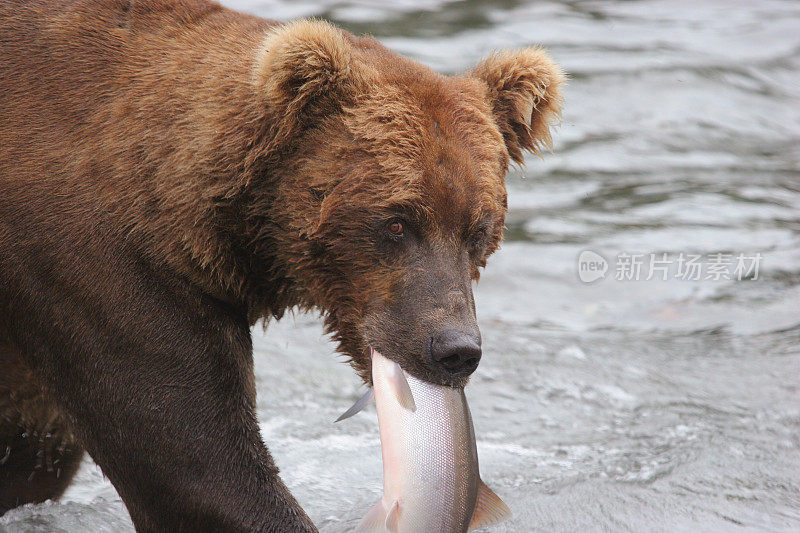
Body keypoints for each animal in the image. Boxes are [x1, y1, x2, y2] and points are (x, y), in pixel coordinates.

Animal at [0, 2, 564, 528]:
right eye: (397, 222)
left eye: (478, 231)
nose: (455, 349)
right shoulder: (104, 269)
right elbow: (191, 458)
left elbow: (33, 461)